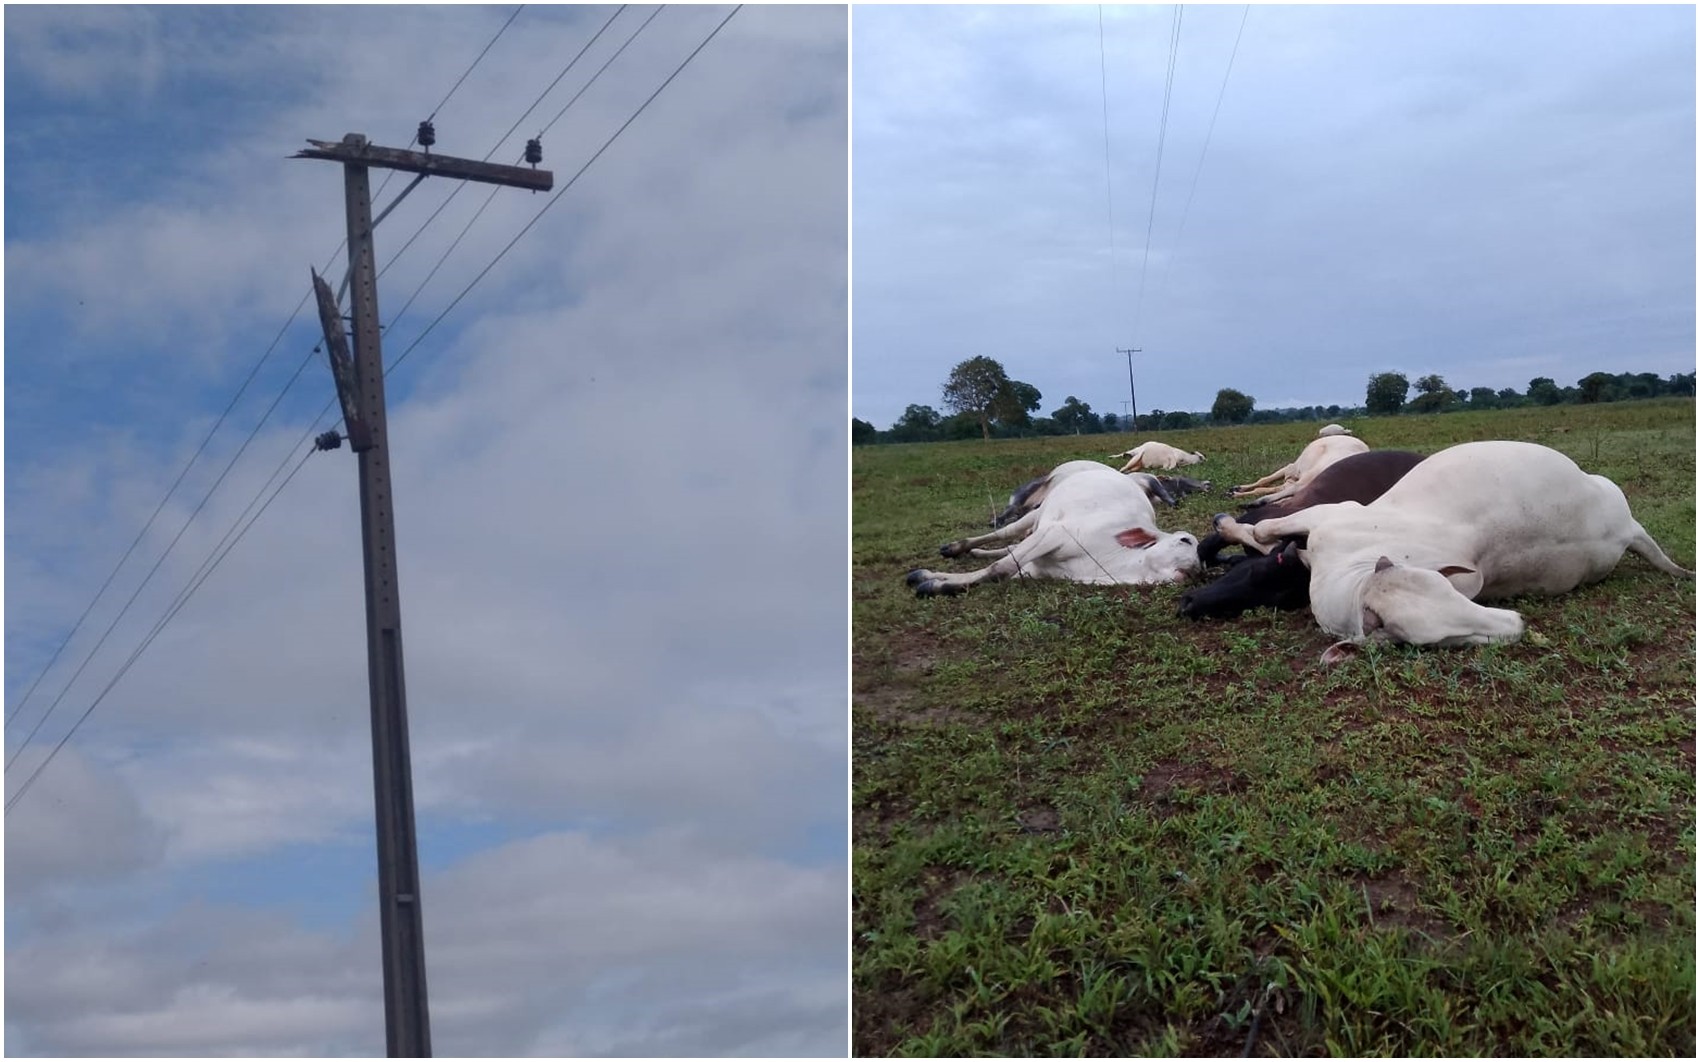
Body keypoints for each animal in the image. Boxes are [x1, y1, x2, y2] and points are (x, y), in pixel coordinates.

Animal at [911, 462, 1203, 598]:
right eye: (1185, 540)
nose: (1196, 567)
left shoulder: (1036, 568)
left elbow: (996, 571)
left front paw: (932, 581)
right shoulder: (1055, 534)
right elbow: (999, 569)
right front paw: (927, 579)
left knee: (1008, 546)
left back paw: (973, 553)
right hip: (1035, 515)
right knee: (1003, 535)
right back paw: (956, 547)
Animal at [1244, 438, 1693, 655]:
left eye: (1440, 640)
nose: (1517, 625)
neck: (1348, 579)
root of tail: (1625, 529)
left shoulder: (1332, 514)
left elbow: (1264, 531)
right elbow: (1267, 534)